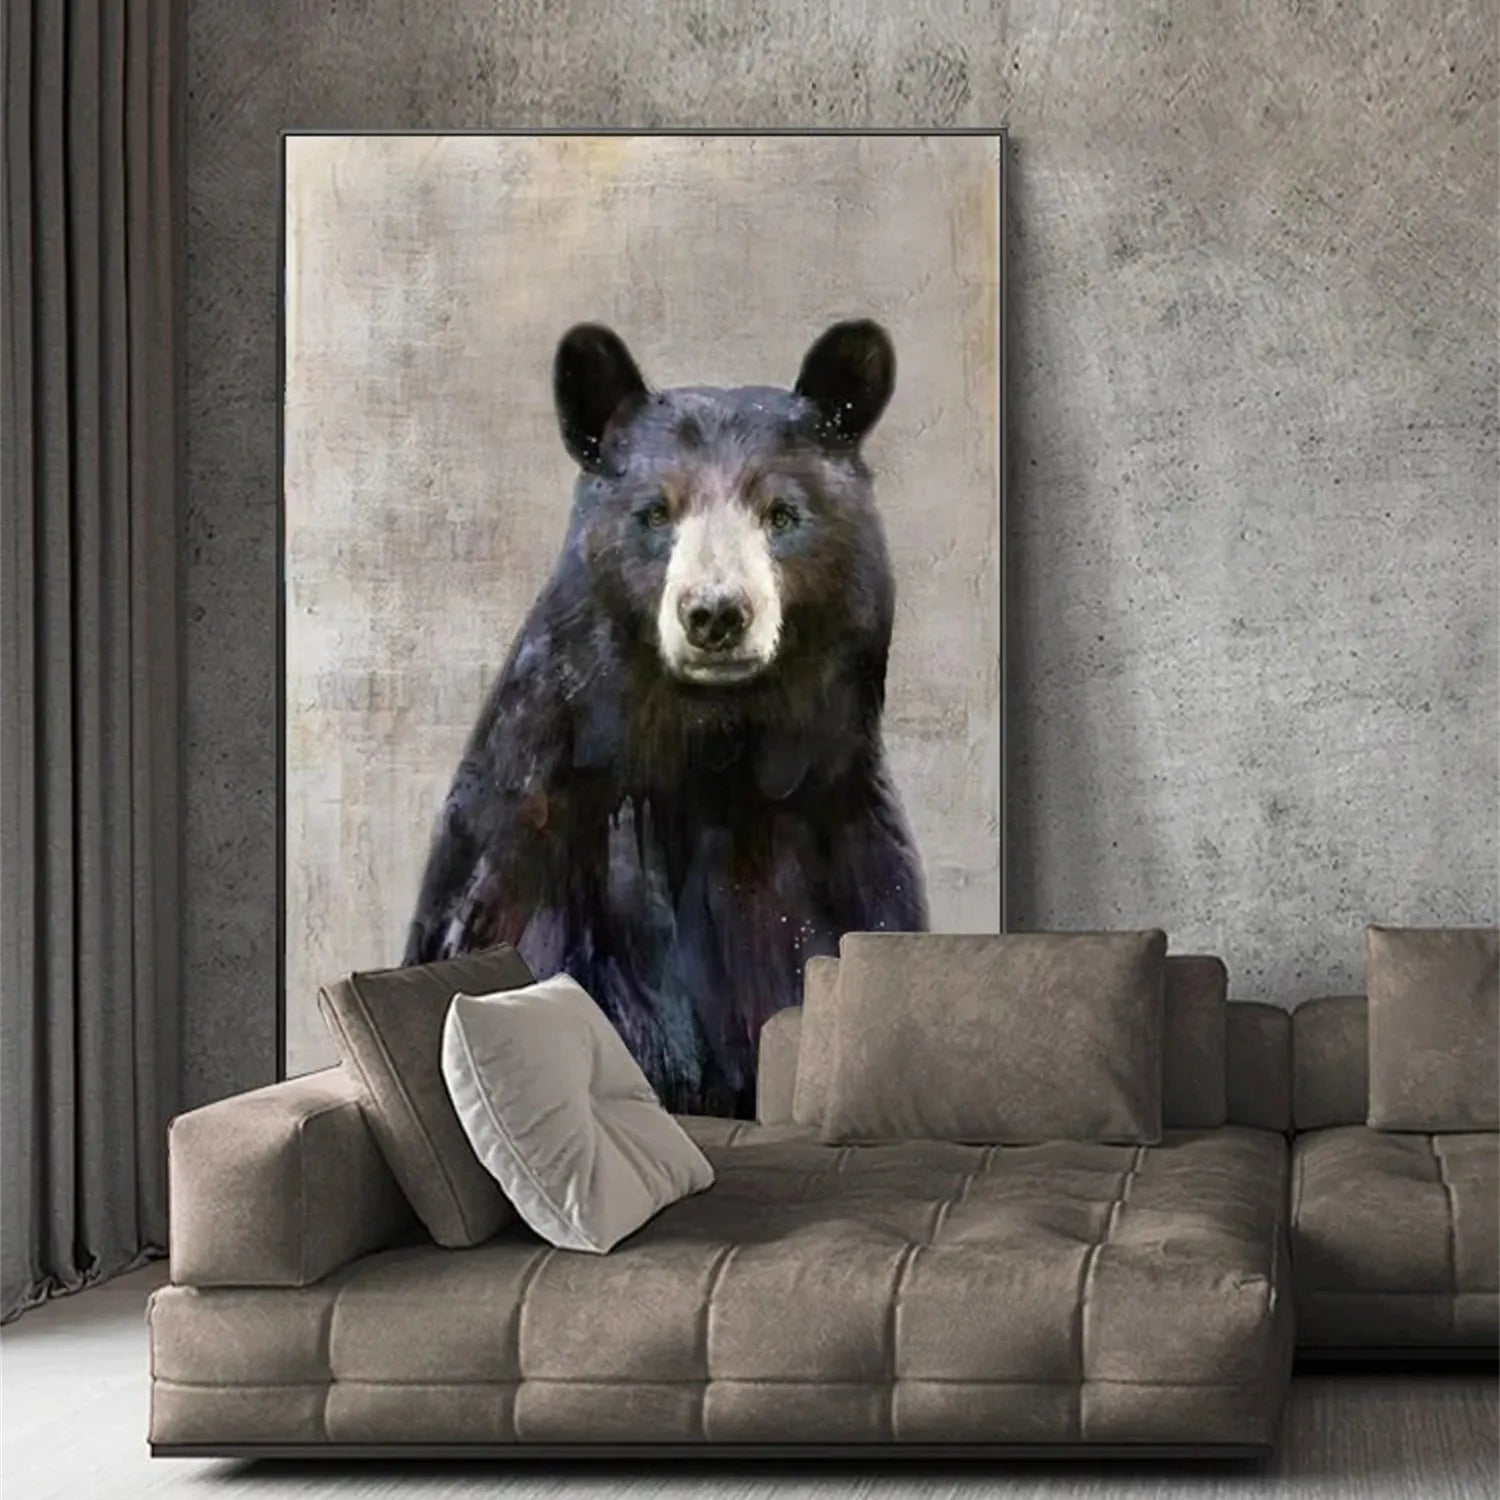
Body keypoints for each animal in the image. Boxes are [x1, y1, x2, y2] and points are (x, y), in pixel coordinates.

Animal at [404, 319, 928, 1116]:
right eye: (655, 511)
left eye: (782, 513)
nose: (715, 613)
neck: (709, 755)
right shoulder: (522, 864)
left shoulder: (843, 857)